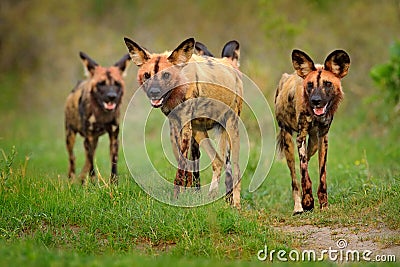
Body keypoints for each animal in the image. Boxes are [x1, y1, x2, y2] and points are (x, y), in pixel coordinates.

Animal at [64, 52, 130, 186]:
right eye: (101, 84)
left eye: (117, 84)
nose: (111, 96)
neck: (102, 115)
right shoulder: (88, 138)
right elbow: (92, 167)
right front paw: (94, 183)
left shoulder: (113, 138)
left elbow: (113, 163)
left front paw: (114, 184)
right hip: (70, 137)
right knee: (73, 158)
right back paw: (72, 180)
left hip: (93, 141)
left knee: (87, 159)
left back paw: (82, 180)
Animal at [124, 37, 244, 209]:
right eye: (147, 75)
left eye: (166, 75)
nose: (154, 92)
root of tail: (230, 63)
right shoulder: (177, 128)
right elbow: (186, 168)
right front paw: (186, 196)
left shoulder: (186, 129)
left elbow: (181, 169)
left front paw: (175, 199)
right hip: (203, 132)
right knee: (218, 161)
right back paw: (213, 196)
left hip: (231, 127)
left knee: (236, 168)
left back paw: (236, 204)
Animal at [276, 48, 350, 216]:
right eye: (310, 85)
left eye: (327, 84)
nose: (316, 101)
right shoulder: (300, 137)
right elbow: (304, 173)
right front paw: (308, 202)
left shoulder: (323, 139)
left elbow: (322, 175)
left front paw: (324, 205)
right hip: (288, 142)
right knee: (295, 177)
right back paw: (298, 206)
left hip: (314, 144)